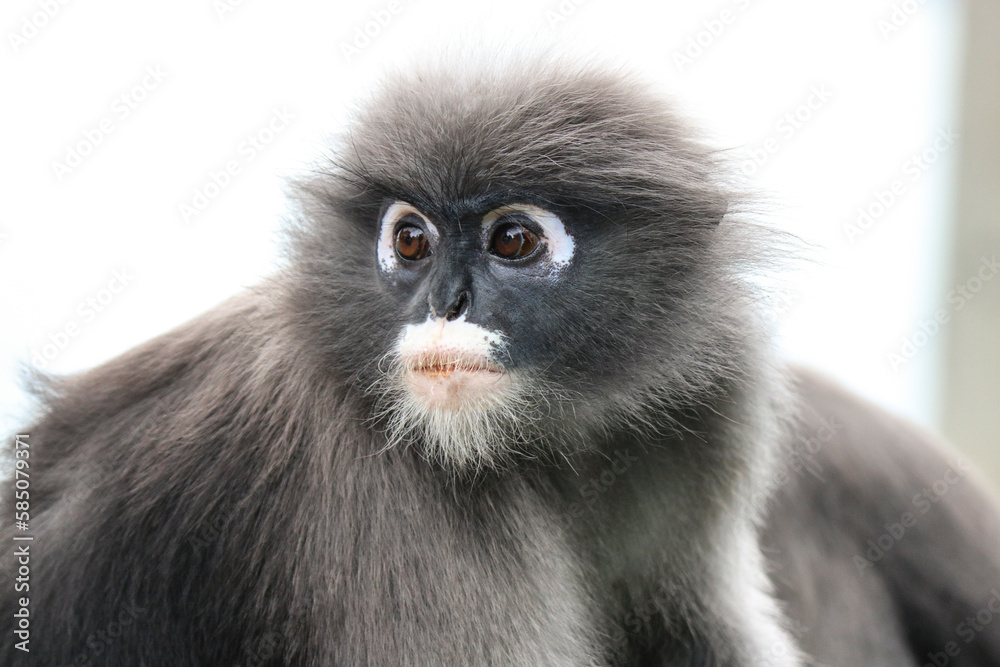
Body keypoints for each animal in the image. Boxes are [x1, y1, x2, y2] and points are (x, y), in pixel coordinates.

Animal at [3, 56, 1000, 667]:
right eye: (409, 239)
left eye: (513, 238)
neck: (544, 434)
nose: (443, 305)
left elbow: (694, 622)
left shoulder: (706, 408)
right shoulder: (384, 485)